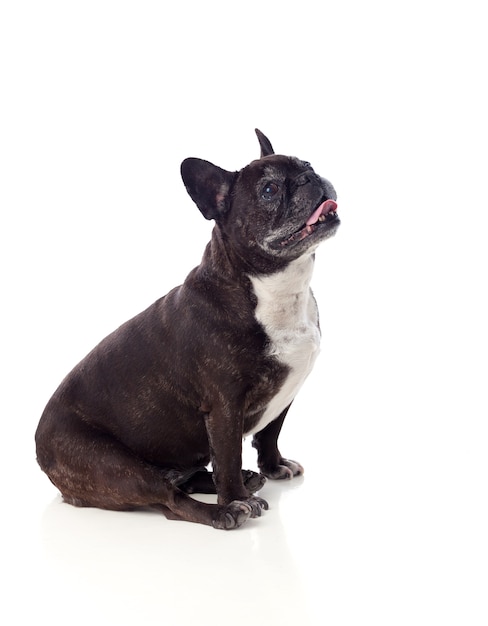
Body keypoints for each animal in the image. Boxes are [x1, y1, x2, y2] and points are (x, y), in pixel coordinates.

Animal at [35, 130, 340, 528]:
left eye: (308, 164)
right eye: (269, 190)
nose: (309, 178)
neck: (276, 286)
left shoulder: (287, 389)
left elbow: (270, 433)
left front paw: (273, 466)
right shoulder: (225, 406)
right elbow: (228, 455)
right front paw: (235, 497)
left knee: (183, 481)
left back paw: (244, 479)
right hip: (114, 467)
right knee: (171, 501)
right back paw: (225, 509)